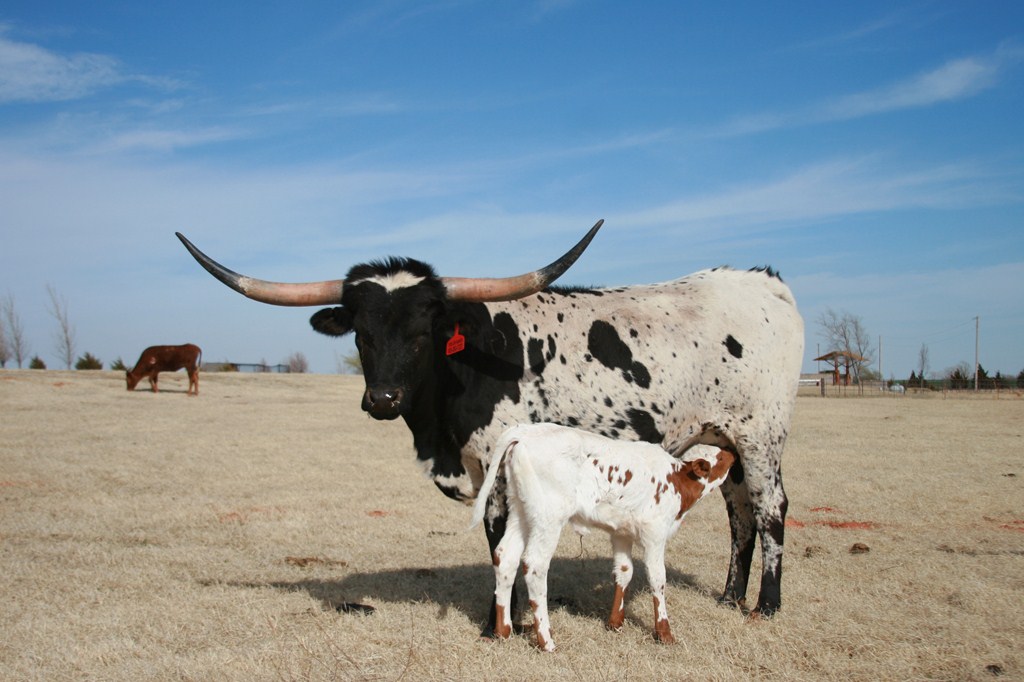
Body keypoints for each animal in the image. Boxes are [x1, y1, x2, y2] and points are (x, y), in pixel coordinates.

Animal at [470, 423, 735, 651]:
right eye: (719, 458)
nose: (732, 454)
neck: (676, 480)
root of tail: (525, 430)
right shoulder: (655, 534)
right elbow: (658, 579)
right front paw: (664, 633)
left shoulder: (621, 533)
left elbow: (624, 571)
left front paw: (615, 622)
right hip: (548, 517)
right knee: (535, 565)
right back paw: (546, 641)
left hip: (521, 510)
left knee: (505, 556)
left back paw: (503, 632)